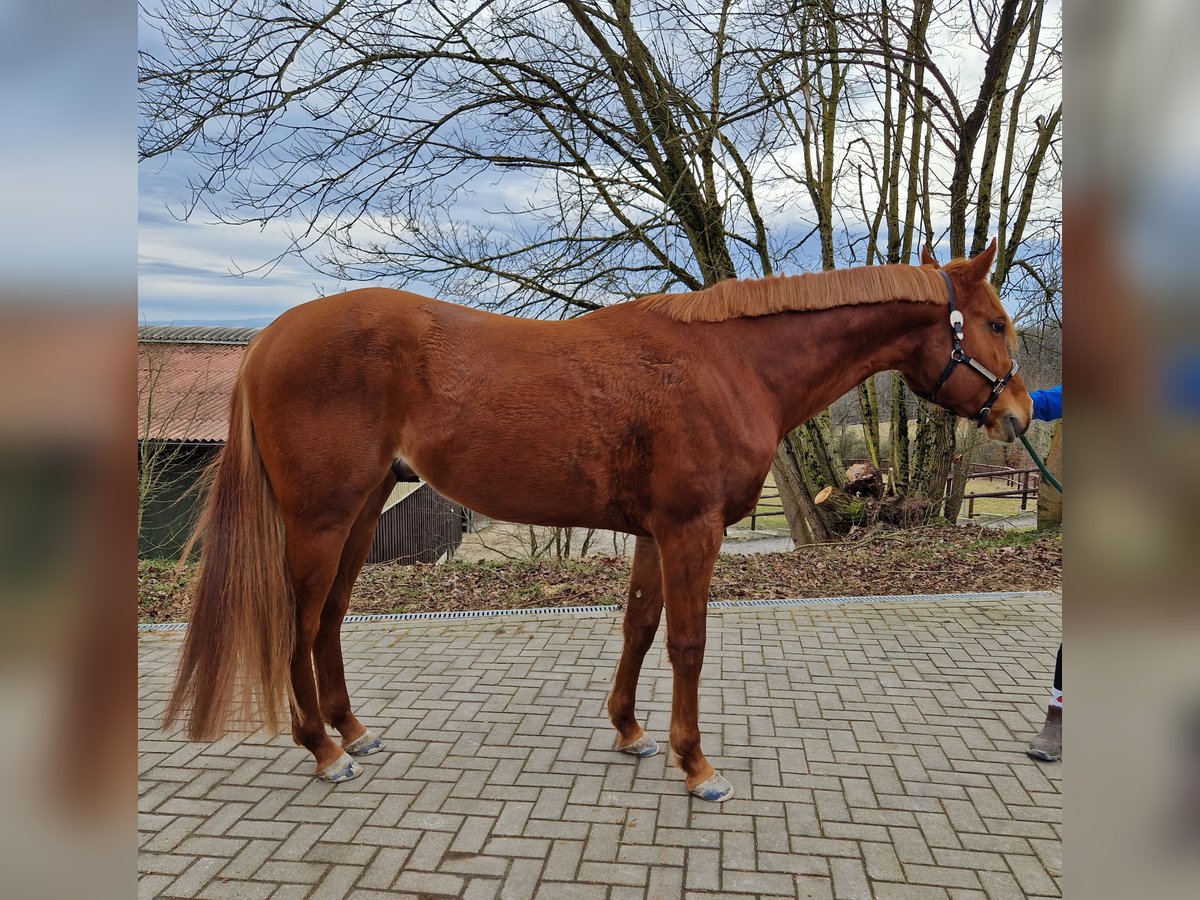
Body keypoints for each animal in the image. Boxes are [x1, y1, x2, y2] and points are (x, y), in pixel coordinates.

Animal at [166, 240, 1032, 801]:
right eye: (995, 323)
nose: (1021, 414)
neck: (731, 366)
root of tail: (267, 340)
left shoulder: (655, 531)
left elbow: (640, 629)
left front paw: (630, 732)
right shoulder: (691, 529)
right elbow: (687, 644)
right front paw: (696, 765)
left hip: (361, 511)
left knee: (331, 618)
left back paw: (353, 732)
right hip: (321, 516)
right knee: (298, 621)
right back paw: (321, 750)